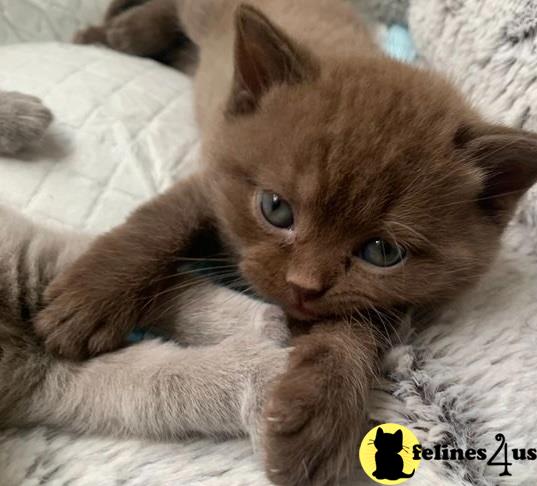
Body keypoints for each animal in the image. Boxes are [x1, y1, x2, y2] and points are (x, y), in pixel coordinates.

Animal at [0, 203, 288, 450]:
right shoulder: (49, 381)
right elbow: (169, 380)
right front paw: (274, 375)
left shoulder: (50, 259)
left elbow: (163, 289)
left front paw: (264, 324)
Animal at [38, 1, 537, 484]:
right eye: (276, 209)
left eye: (382, 252)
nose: (304, 285)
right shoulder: (211, 180)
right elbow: (160, 222)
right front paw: (88, 301)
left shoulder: (387, 304)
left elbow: (354, 331)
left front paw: (321, 410)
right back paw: (117, 32)